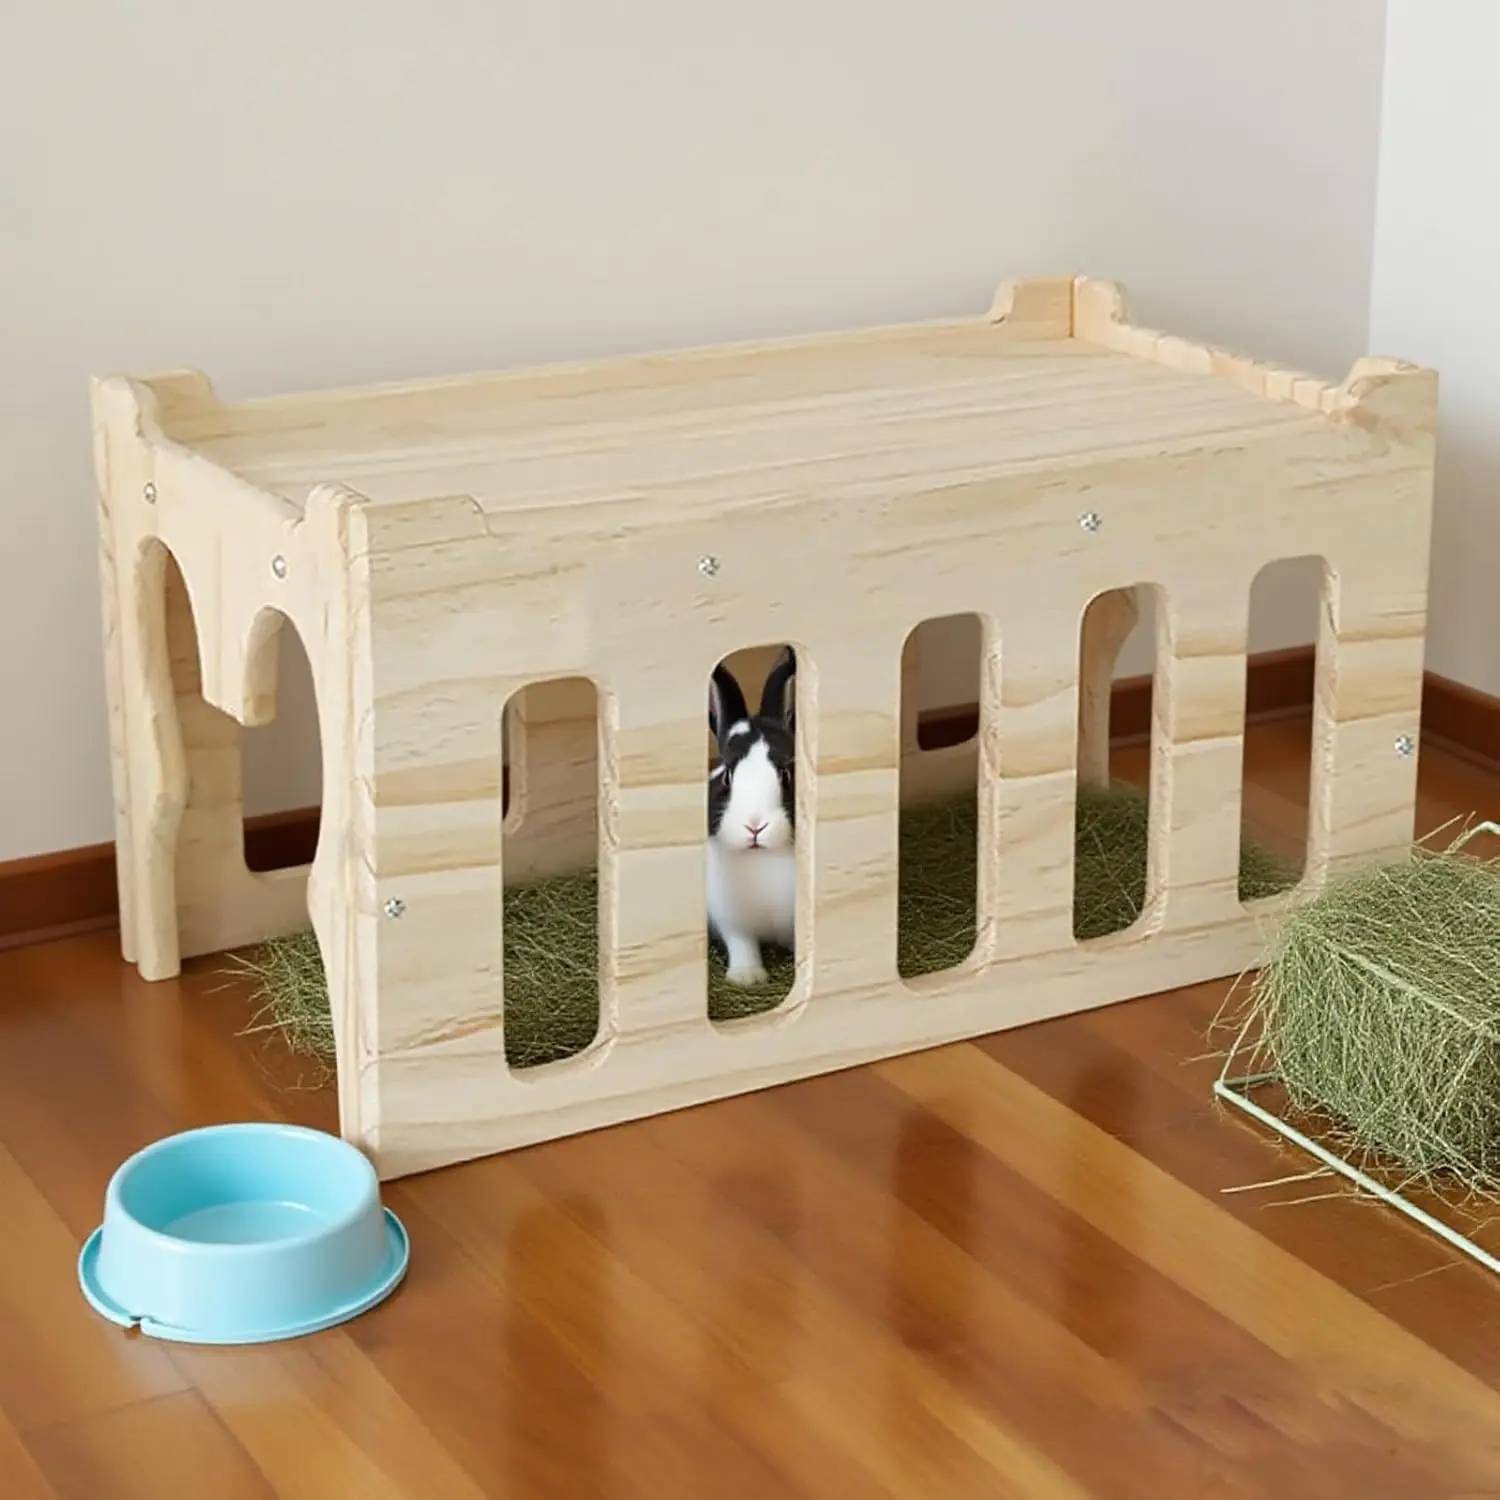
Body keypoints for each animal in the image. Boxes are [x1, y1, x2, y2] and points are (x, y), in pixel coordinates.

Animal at [707, 646, 798, 986]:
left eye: (786, 774)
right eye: (727, 778)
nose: (755, 827)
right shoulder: (730, 918)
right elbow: (742, 944)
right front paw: (747, 978)